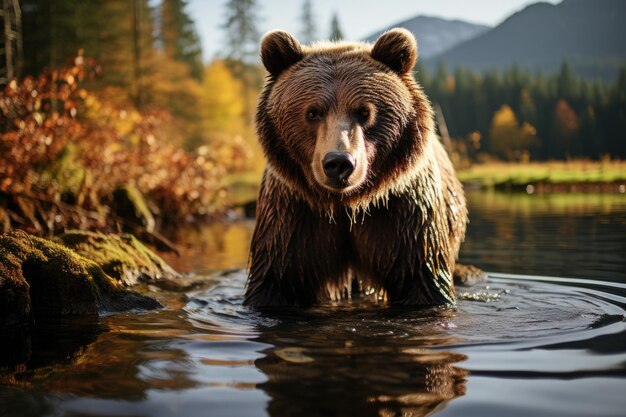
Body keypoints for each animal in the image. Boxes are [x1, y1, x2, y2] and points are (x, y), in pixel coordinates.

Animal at [244, 28, 468, 306]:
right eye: (312, 112)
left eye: (364, 112)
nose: (339, 162)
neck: (346, 205)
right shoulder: (292, 215)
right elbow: (275, 279)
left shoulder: (405, 215)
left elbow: (421, 279)